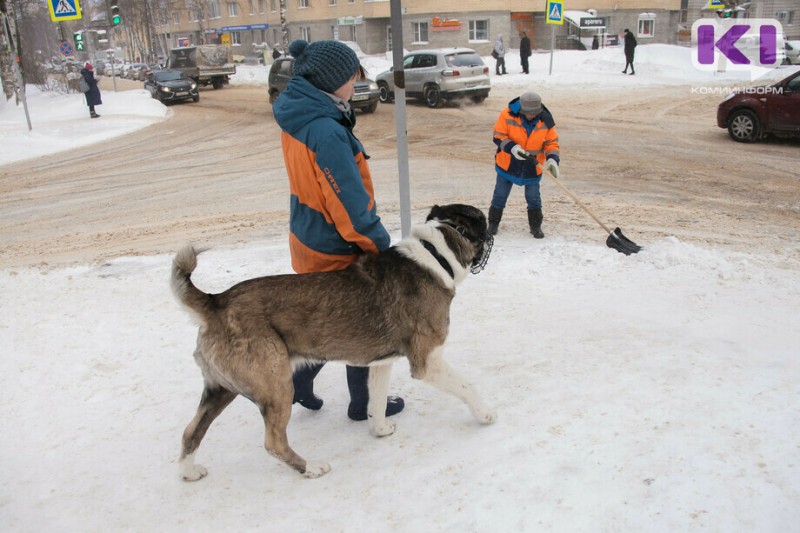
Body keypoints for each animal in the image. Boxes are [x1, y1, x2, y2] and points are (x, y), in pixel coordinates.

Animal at [173, 204, 496, 478]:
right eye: (483, 224)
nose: (494, 229)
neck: (436, 255)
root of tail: (216, 302)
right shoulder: (427, 361)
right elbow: (468, 387)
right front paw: (485, 414)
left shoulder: (381, 363)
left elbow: (377, 401)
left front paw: (379, 430)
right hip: (275, 385)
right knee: (273, 442)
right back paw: (311, 468)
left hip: (220, 390)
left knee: (191, 431)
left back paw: (189, 472)